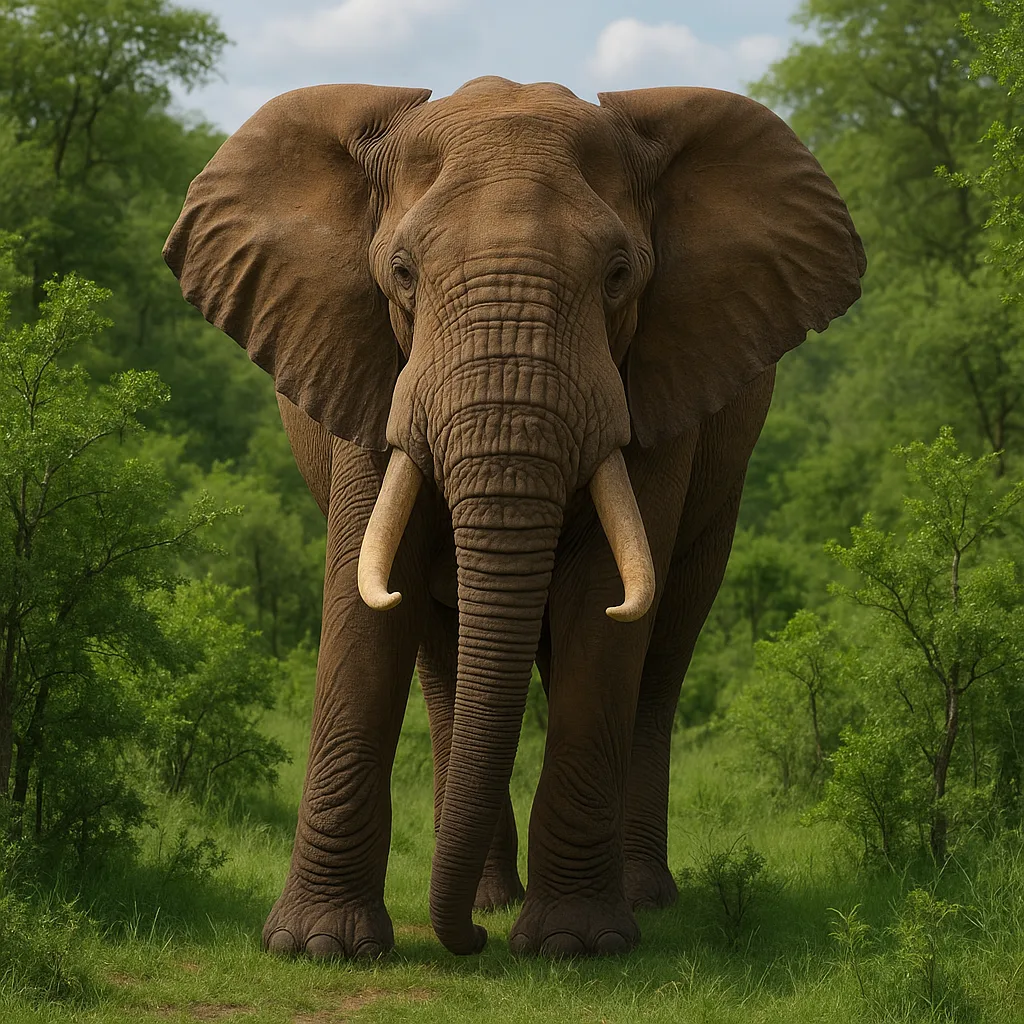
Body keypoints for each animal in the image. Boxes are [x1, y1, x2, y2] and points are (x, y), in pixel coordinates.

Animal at [163, 76, 865, 959]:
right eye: (401, 273)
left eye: (619, 274)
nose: (465, 943)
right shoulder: (370, 368)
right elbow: (368, 605)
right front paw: (319, 947)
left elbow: (605, 603)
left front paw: (576, 945)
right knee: (445, 663)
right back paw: (495, 900)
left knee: (661, 658)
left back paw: (635, 899)